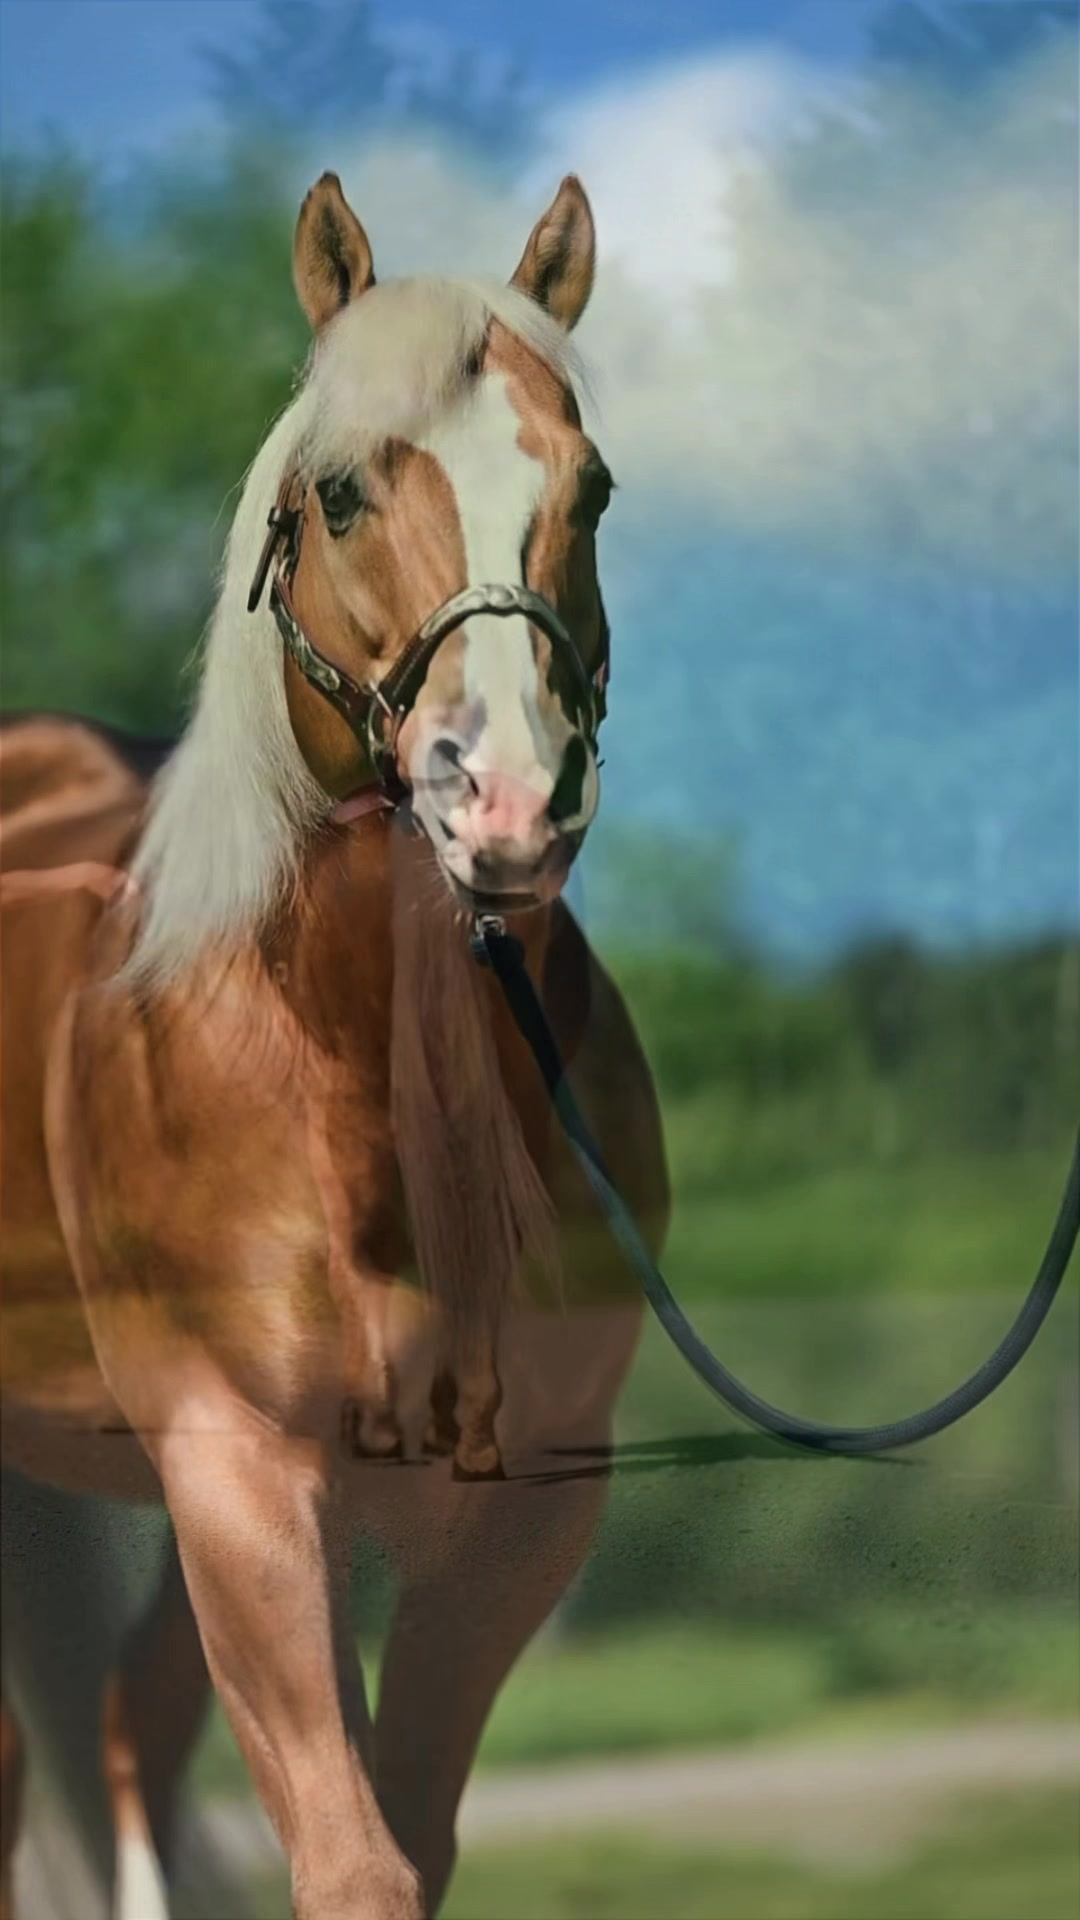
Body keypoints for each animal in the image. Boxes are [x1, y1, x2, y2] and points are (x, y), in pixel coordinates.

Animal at [0, 171, 668, 1920]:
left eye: (592, 488)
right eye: (348, 493)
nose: (504, 802)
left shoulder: (515, 1514)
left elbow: (405, 1843)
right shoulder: (237, 1474)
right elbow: (353, 1862)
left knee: (121, 1733)